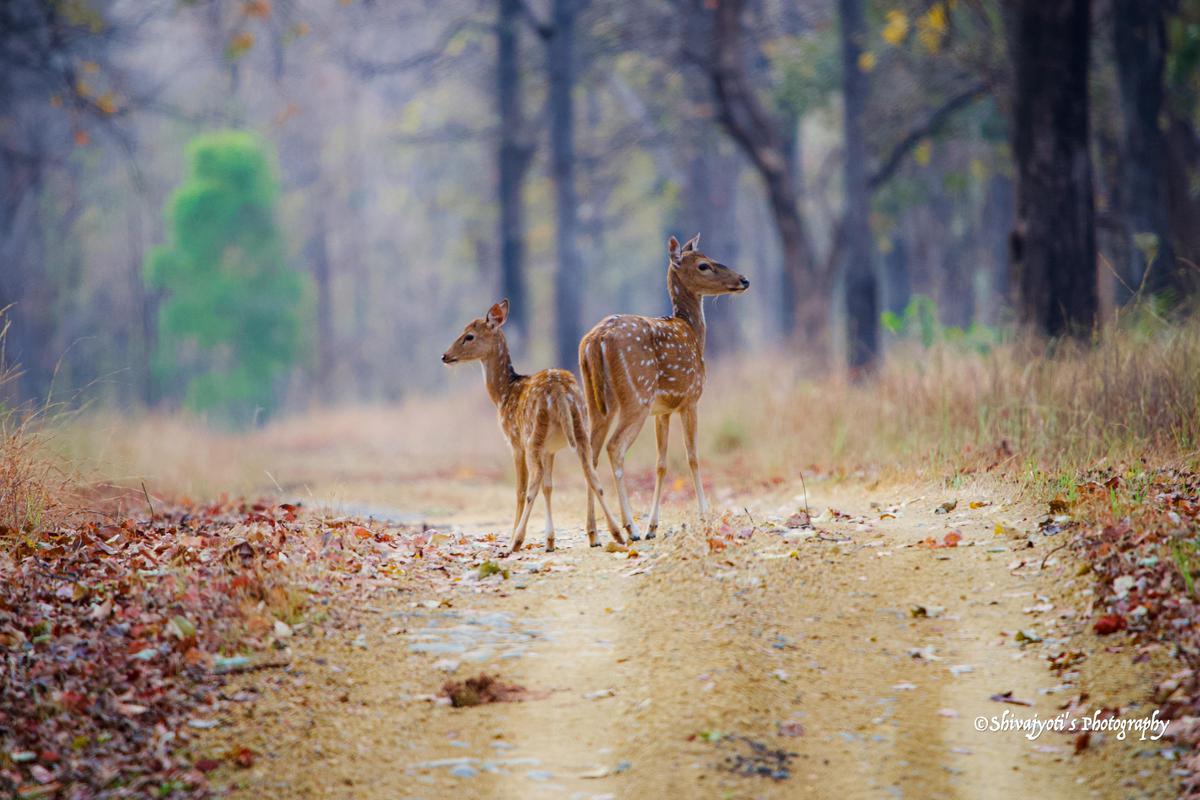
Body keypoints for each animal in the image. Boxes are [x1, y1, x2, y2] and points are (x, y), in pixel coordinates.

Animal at [444, 299, 628, 556]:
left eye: (469, 335)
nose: (445, 355)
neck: (504, 394)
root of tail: (559, 390)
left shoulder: (514, 441)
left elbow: (521, 489)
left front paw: (519, 537)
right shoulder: (550, 449)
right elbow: (549, 486)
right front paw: (550, 541)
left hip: (534, 434)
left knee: (533, 482)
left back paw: (515, 542)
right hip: (580, 427)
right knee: (591, 473)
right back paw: (616, 534)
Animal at [576, 235, 744, 542]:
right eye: (704, 265)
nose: (744, 280)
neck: (693, 333)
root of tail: (597, 340)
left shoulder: (662, 410)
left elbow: (661, 463)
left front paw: (654, 527)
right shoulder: (690, 398)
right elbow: (693, 457)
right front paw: (704, 516)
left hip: (596, 401)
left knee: (590, 453)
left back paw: (595, 533)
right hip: (636, 395)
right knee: (614, 447)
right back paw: (629, 528)